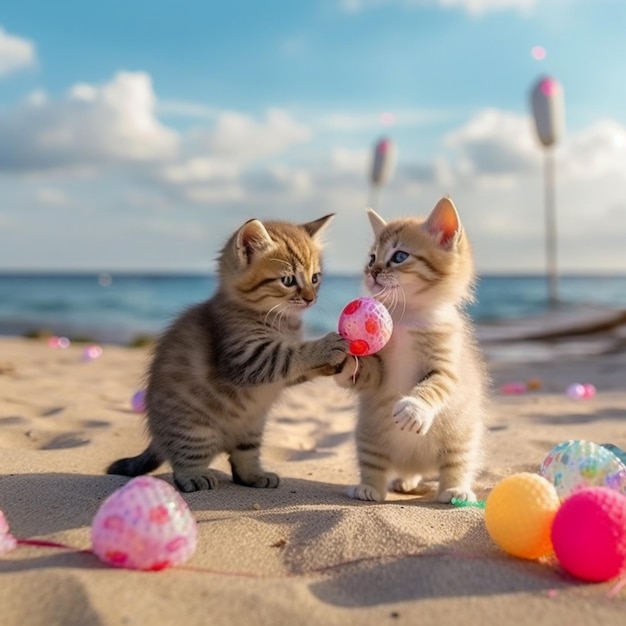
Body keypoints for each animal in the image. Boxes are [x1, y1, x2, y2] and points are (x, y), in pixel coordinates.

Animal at [109, 214, 348, 492]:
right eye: (288, 280)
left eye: (315, 278)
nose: (311, 298)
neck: (283, 322)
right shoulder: (246, 357)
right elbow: (289, 354)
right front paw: (328, 345)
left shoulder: (277, 375)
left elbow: (293, 370)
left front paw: (334, 364)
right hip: (194, 429)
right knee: (183, 459)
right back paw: (195, 476)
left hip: (251, 429)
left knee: (241, 458)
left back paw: (254, 475)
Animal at [332, 196, 488, 502]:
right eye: (372, 257)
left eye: (399, 256)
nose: (372, 271)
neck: (406, 316)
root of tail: (416, 464)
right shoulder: (378, 372)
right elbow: (364, 373)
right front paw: (345, 361)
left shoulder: (446, 365)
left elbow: (434, 386)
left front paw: (414, 409)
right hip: (368, 437)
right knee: (375, 466)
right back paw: (372, 487)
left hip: (462, 438)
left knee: (457, 465)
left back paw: (454, 490)